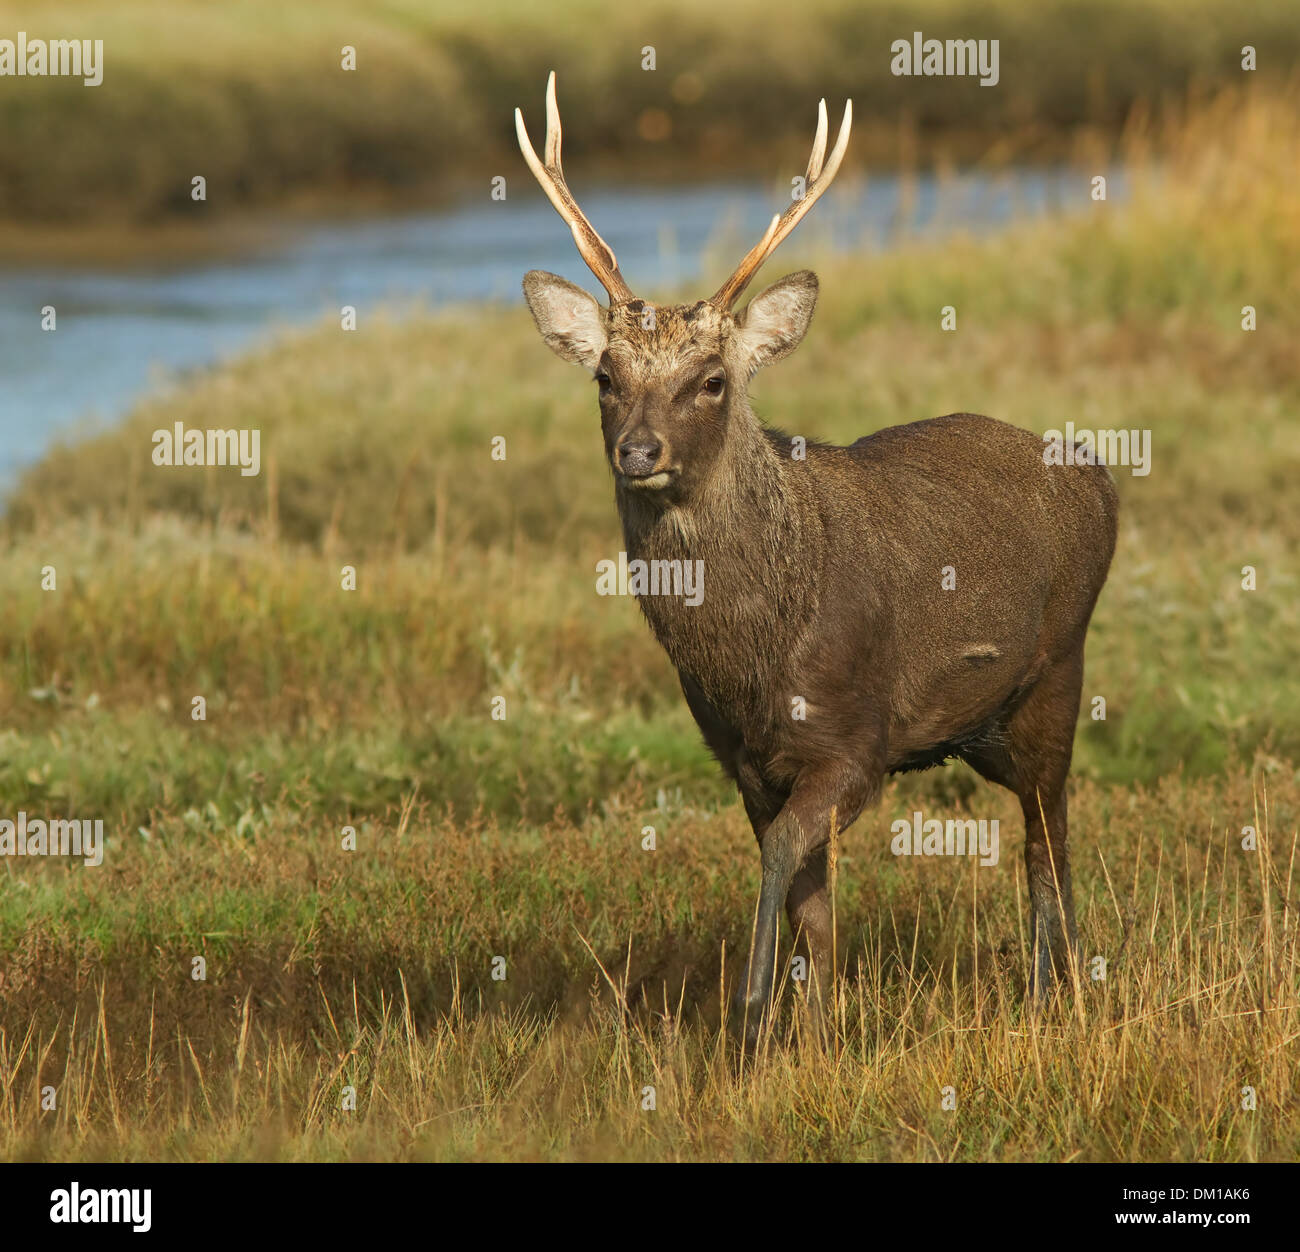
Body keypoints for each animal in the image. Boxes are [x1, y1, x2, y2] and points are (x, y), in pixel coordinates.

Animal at [514, 73, 1118, 1045]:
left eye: (712, 380)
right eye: (605, 377)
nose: (638, 451)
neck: (752, 657)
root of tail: (1102, 478)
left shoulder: (855, 740)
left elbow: (785, 857)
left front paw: (752, 1014)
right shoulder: (744, 758)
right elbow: (811, 896)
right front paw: (821, 1029)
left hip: (1060, 669)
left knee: (1047, 835)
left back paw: (1054, 990)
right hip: (985, 724)